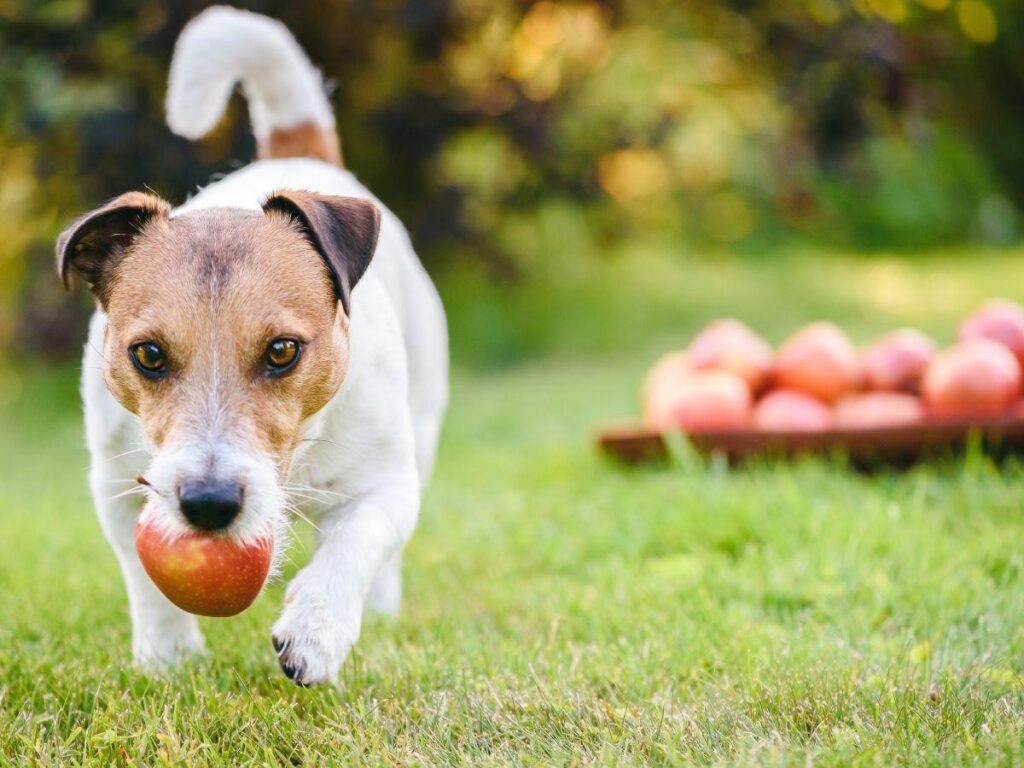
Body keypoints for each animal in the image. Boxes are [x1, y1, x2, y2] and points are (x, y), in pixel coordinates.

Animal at [57, 6, 448, 688]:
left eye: (283, 351)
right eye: (148, 355)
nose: (209, 504)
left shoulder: (386, 483)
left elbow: (357, 542)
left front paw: (317, 630)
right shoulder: (115, 484)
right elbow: (146, 582)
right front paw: (167, 659)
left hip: (423, 420)